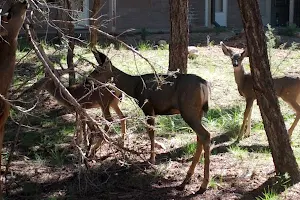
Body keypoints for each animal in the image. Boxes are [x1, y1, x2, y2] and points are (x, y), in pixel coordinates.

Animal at [91, 49, 211, 193]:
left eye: (97, 70)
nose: (87, 80)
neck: (134, 87)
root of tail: (205, 85)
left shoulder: (148, 107)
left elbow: (151, 133)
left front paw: (151, 159)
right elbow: (152, 132)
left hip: (189, 111)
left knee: (205, 135)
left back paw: (203, 185)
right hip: (198, 113)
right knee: (200, 137)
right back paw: (186, 181)